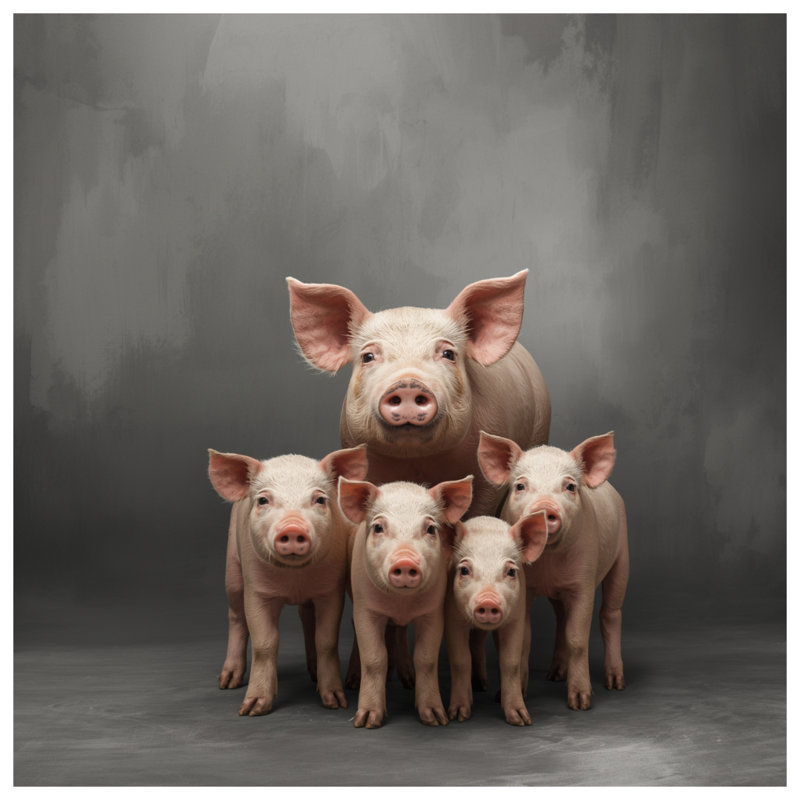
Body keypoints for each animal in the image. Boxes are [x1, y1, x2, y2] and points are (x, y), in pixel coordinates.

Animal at [207, 445, 368, 716]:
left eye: (319, 499)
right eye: (263, 500)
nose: (292, 528)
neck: (295, 581)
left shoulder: (330, 589)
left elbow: (326, 641)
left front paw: (336, 702)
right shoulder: (256, 589)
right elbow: (264, 642)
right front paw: (251, 709)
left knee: (307, 618)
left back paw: (314, 674)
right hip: (232, 568)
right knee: (236, 616)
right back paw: (227, 682)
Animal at [338, 475, 474, 728]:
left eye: (430, 528)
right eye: (378, 527)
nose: (405, 561)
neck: (401, 604)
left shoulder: (433, 612)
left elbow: (425, 659)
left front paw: (437, 719)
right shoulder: (365, 608)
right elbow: (374, 658)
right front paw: (366, 721)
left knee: (399, 633)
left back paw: (407, 680)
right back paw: (352, 681)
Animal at [445, 512, 548, 726]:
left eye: (510, 571)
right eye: (464, 570)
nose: (488, 600)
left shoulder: (516, 619)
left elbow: (510, 662)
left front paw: (522, 720)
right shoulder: (452, 617)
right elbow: (460, 661)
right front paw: (458, 715)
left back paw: (487, 688)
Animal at [477, 430, 629, 710]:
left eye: (569, 486)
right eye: (520, 486)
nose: (545, 508)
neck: (548, 565)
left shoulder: (583, 581)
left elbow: (577, 638)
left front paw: (581, 702)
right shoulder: (525, 588)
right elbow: (524, 641)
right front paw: (507, 695)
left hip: (622, 555)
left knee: (610, 614)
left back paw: (615, 683)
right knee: (561, 619)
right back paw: (555, 675)